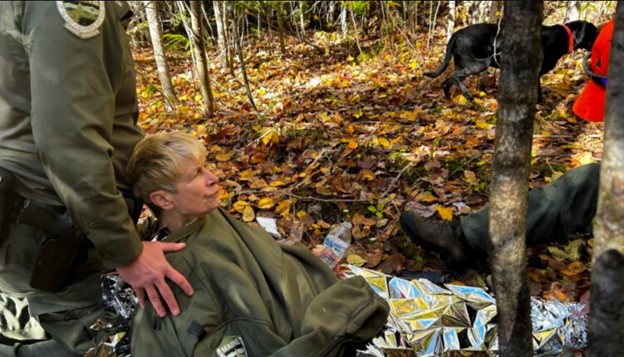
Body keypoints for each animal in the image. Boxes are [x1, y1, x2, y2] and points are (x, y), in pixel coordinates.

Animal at [426, 20, 596, 100]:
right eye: (594, 31)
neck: (564, 36)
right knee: (455, 76)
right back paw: (467, 95)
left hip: (463, 63)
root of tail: (459, 32)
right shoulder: (535, 73)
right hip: (479, 63)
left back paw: (450, 100)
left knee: (446, 82)